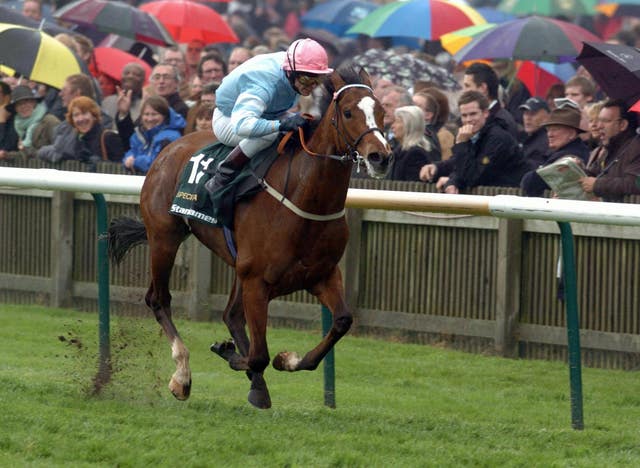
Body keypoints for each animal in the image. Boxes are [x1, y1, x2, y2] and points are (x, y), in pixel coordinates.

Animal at [107, 67, 392, 408]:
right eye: (348, 112)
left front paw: (286, 360)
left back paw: (256, 386)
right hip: (165, 236)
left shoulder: (320, 275)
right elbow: (258, 355)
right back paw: (183, 376)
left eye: (382, 112)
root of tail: (170, 148)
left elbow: (341, 322)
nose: (380, 157)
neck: (307, 198)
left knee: (231, 315)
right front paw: (229, 353)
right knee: (158, 299)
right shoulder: (258, 280)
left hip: (235, 262)